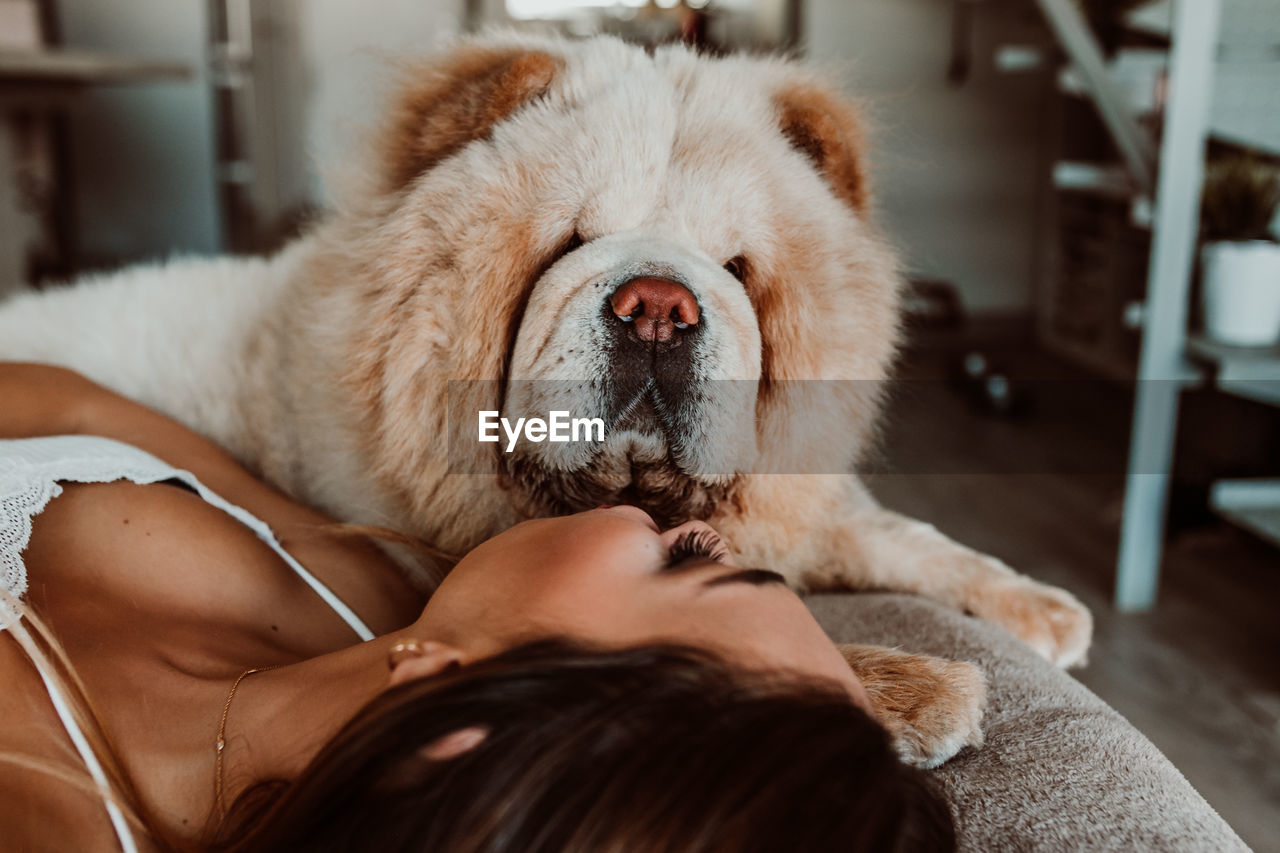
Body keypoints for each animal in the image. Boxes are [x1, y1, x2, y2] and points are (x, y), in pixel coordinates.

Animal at [0, 33, 1090, 763]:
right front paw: (924, 690)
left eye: (737, 267)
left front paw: (1042, 609)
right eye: (569, 244)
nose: (659, 308)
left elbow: (897, 533)